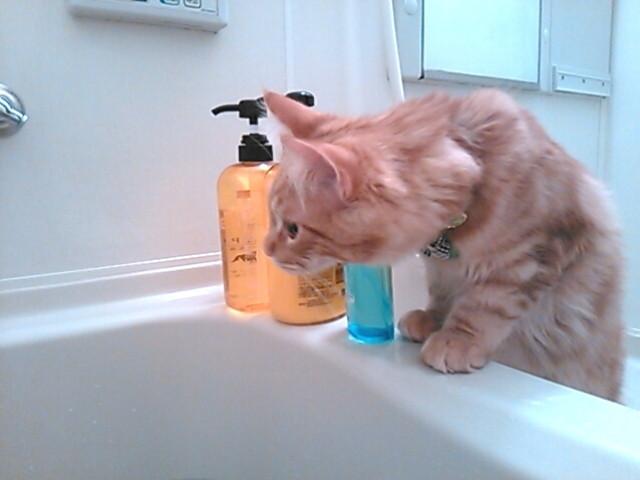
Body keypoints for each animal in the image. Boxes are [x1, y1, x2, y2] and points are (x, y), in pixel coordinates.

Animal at [262, 89, 624, 401]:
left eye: (293, 229)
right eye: (271, 217)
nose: (266, 250)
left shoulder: (533, 254)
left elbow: (486, 304)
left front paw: (457, 338)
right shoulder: (440, 267)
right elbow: (442, 291)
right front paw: (433, 319)